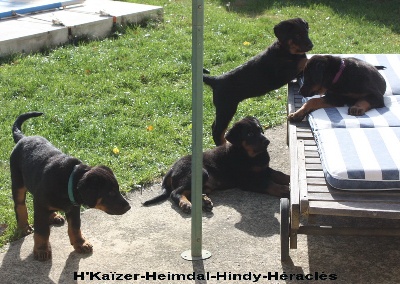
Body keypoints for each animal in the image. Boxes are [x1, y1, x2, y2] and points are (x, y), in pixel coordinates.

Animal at [10, 112, 131, 260]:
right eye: (111, 193)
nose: (129, 207)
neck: (68, 180)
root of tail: (24, 138)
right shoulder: (40, 204)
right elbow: (42, 230)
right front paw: (41, 249)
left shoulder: (73, 207)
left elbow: (75, 226)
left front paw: (80, 243)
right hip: (18, 182)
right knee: (20, 205)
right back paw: (23, 227)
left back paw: (54, 216)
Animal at [142, 116, 290, 213]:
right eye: (249, 133)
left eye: (260, 129)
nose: (267, 141)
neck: (250, 155)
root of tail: (172, 168)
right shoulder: (246, 180)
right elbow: (267, 183)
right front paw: (285, 189)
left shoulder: (264, 169)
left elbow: (279, 174)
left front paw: (290, 179)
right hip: (200, 172)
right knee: (175, 192)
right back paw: (186, 204)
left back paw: (204, 201)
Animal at [205, 17, 314, 145]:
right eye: (297, 35)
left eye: (306, 32)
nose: (311, 45)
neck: (286, 51)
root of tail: (216, 80)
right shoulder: (284, 72)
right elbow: (303, 62)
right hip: (226, 107)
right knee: (217, 130)